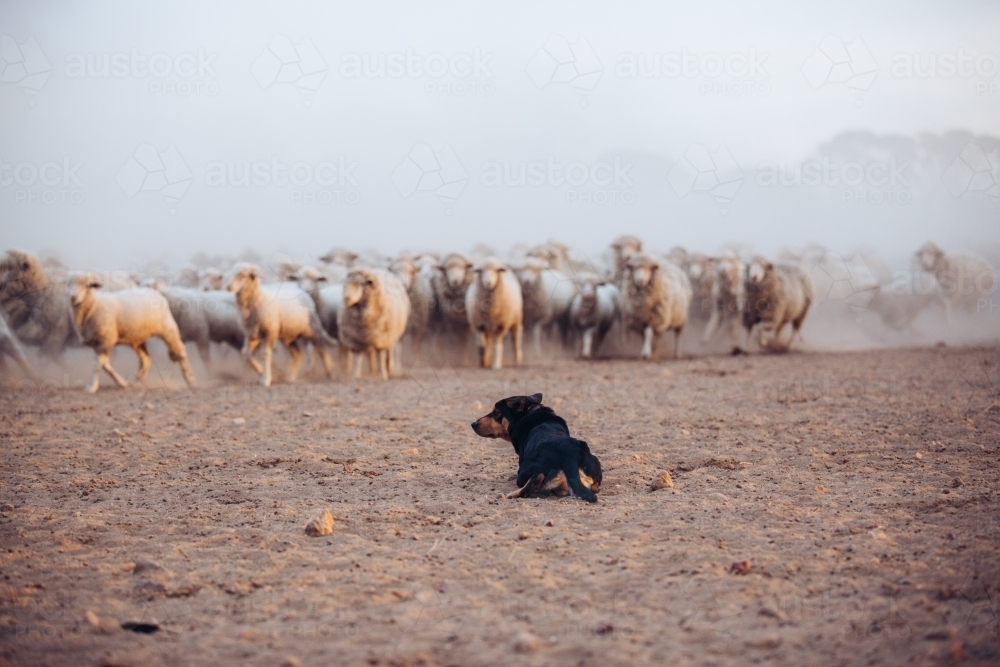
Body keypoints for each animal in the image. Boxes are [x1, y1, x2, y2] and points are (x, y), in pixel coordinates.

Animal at [67, 272, 197, 394]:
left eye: (86, 285)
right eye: (68, 284)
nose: (73, 297)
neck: (94, 304)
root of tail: (153, 290)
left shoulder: (106, 339)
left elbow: (98, 364)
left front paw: (92, 387)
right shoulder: (96, 342)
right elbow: (105, 365)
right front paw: (123, 383)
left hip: (168, 328)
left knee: (180, 351)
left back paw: (190, 380)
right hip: (137, 339)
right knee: (146, 360)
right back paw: (136, 383)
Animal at [470, 392, 600, 500]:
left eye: (496, 412)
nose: (473, 424)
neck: (530, 411)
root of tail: (569, 458)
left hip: (524, 469)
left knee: (534, 480)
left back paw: (511, 494)